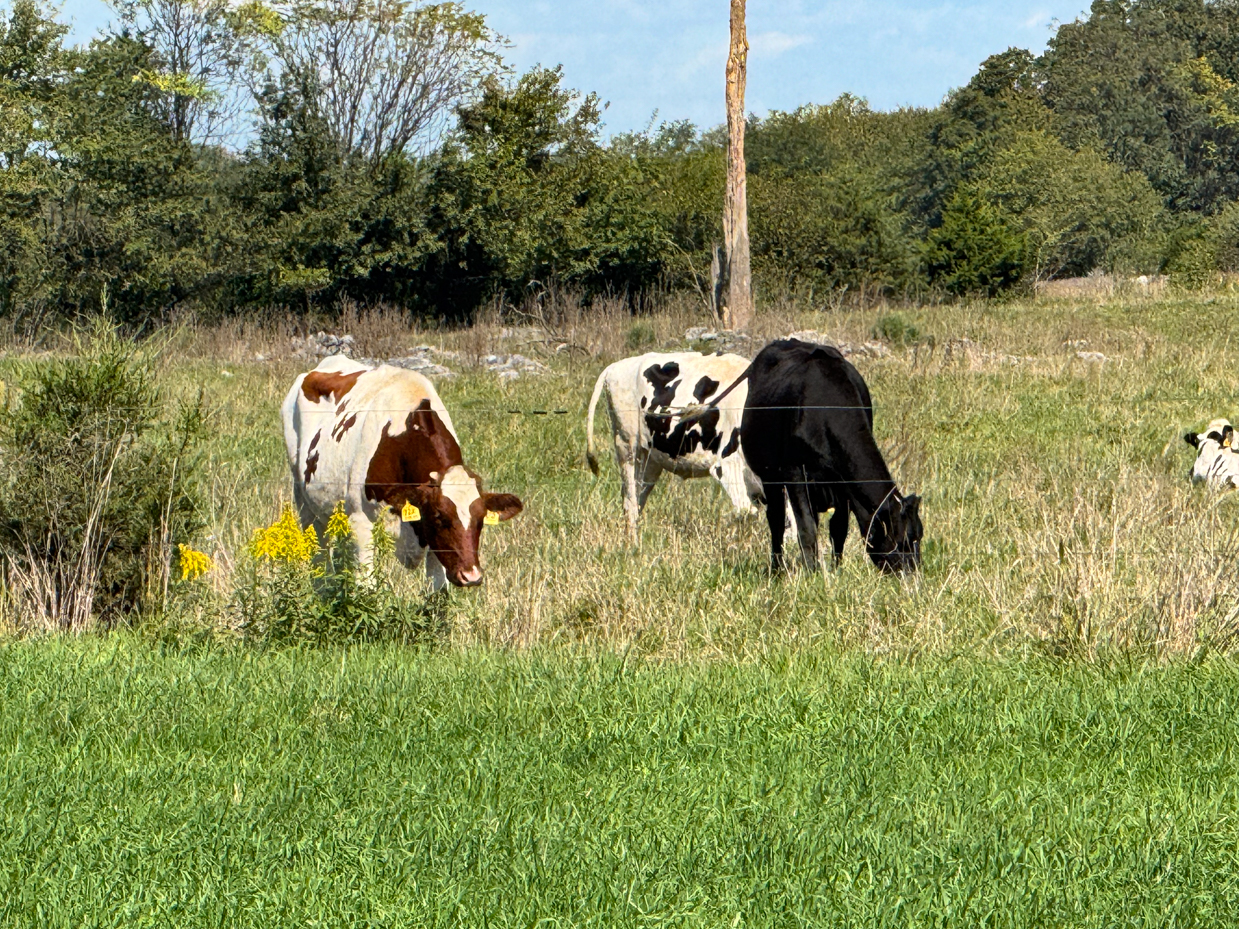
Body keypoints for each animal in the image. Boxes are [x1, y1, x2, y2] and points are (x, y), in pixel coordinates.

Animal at [282, 356, 522, 589]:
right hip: (305, 504)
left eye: (481, 518)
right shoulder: (361, 524)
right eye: (439, 517)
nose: (471, 576)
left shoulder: (435, 545)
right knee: (320, 561)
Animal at [582, 351, 763, 537]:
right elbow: (747, 513)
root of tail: (614, 367)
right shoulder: (728, 466)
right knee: (630, 504)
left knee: (638, 499)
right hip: (627, 446)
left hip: (649, 461)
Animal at [723, 339, 921, 574]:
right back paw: (777, 569)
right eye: (902, 540)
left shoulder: (843, 481)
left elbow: (838, 527)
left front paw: (836, 570)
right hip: (768, 475)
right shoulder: (794, 472)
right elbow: (806, 528)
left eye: (918, 537)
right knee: (776, 519)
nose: (914, 575)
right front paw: (812, 573)